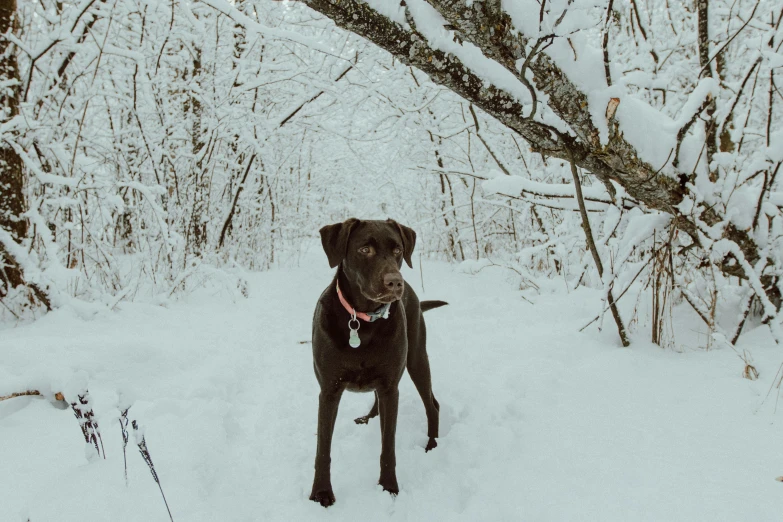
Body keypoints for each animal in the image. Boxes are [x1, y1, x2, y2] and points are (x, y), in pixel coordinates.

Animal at [310, 218, 448, 504]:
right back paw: (368, 417)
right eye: (365, 250)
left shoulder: (390, 389)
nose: (395, 282)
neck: (361, 321)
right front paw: (321, 493)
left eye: (398, 250)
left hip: (417, 359)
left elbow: (388, 447)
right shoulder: (328, 390)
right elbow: (323, 450)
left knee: (433, 404)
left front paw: (388, 487)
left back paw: (431, 445)